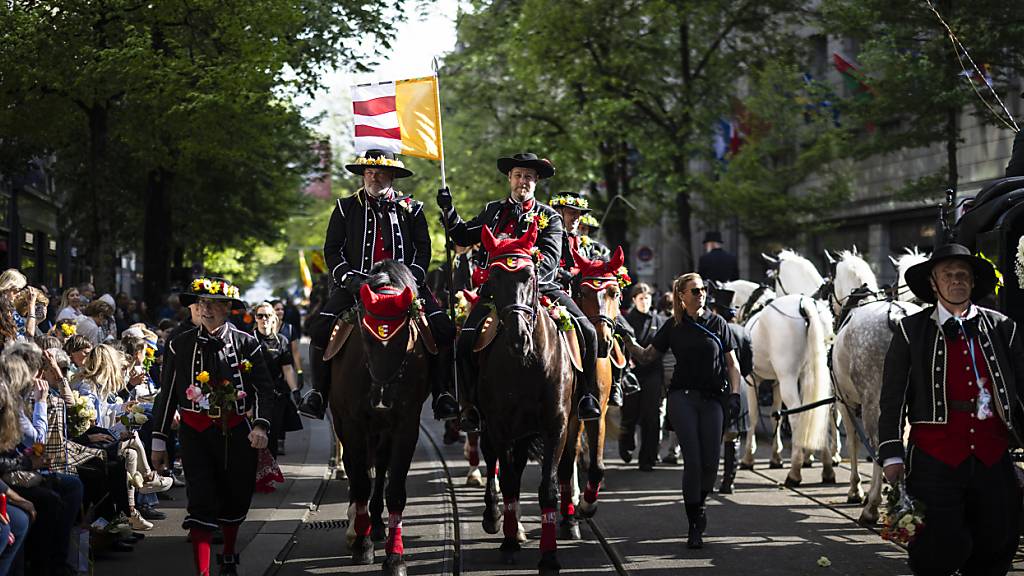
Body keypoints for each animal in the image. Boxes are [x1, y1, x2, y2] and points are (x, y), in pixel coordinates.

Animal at [329, 260, 430, 573]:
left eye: (405, 335)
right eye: (366, 337)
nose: (382, 398)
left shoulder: (406, 426)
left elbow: (395, 489)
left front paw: (395, 557)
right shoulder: (353, 424)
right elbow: (361, 480)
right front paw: (362, 545)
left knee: (381, 466)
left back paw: (374, 524)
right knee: (356, 468)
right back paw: (357, 528)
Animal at [477, 222, 577, 569]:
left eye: (530, 275)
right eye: (494, 277)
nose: (518, 338)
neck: (526, 363)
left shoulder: (557, 426)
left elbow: (548, 488)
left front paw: (549, 555)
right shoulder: (499, 426)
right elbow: (508, 480)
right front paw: (508, 540)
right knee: (498, 464)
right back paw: (497, 519)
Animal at [741, 291, 835, 483]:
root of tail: (805, 304)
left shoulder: (752, 380)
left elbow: (753, 416)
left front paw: (748, 457)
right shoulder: (776, 383)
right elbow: (775, 416)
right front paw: (776, 457)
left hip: (788, 378)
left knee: (797, 415)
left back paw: (795, 471)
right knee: (819, 410)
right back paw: (827, 467)